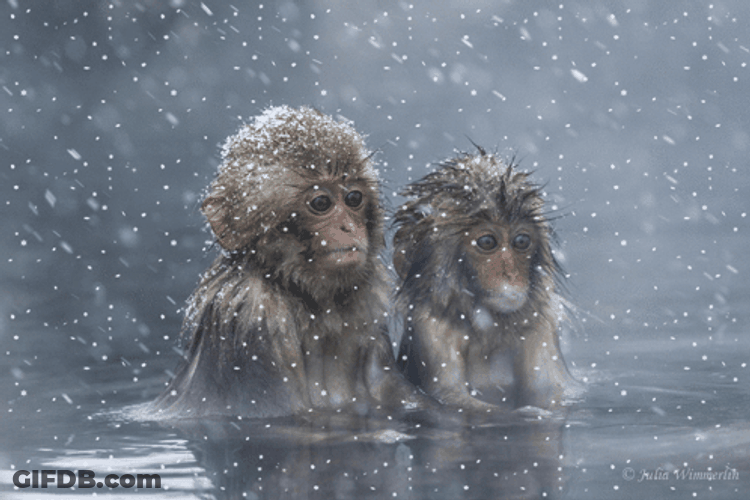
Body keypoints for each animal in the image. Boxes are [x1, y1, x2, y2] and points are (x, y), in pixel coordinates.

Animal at [150, 105, 432, 419]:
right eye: (321, 203)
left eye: (354, 197)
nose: (348, 226)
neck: (310, 302)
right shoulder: (251, 315)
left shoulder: (368, 307)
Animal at [393, 149, 580, 413]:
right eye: (487, 242)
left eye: (521, 241)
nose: (511, 274)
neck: (489, 329)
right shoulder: (431, 328)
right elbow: (448, 396)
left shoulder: (540, 325)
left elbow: (548, 391)